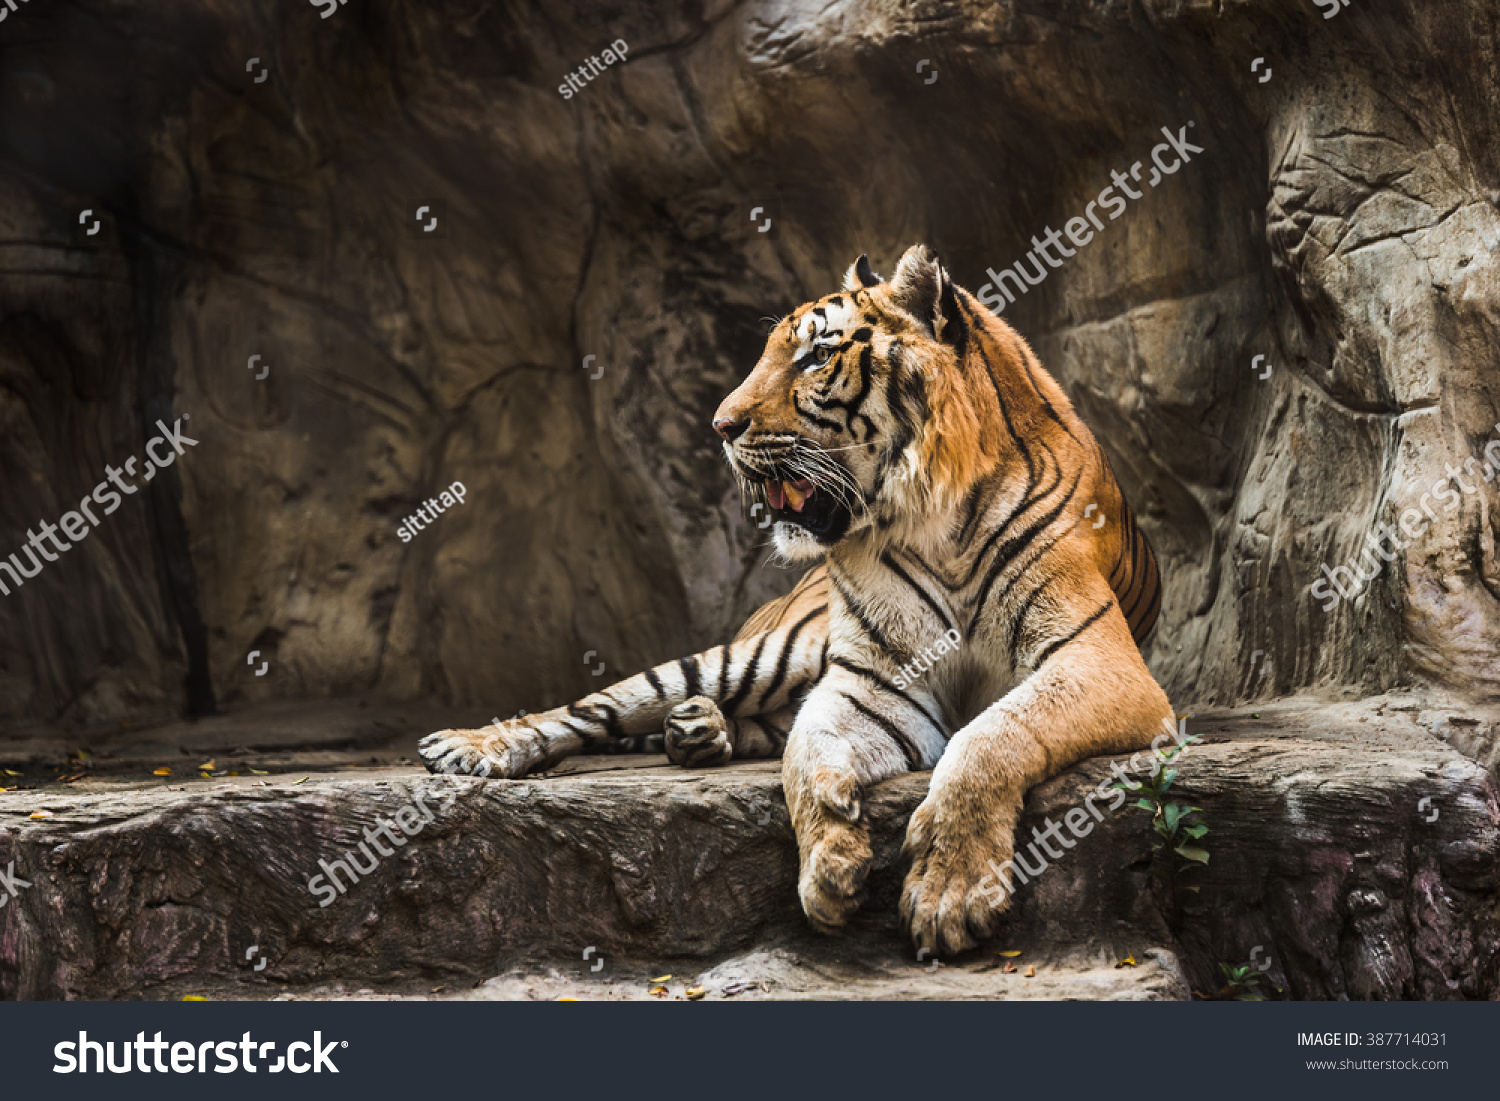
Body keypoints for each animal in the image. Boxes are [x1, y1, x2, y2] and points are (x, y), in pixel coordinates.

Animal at [419, 245, 1173, 954]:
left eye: (815, 355)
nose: (719, 426)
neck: (934, 522)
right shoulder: (874, 680)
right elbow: (803, 757)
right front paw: (830, 867)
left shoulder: (1098, 662)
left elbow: (988, 737)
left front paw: (947, 893)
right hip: (767, 653)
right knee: (594, 708)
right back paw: (472, 746)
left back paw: (698, 732)